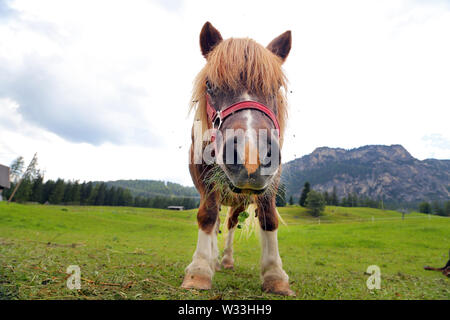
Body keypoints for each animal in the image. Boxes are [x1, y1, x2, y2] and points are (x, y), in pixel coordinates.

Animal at [183, 21, 296, 298]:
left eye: (277, 85)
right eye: (210, 85)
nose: (250, 156)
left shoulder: (269, 181)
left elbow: (268, 217)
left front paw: (275, 274)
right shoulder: (207, 180)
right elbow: (207, 216)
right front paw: (199, 269)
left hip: (240, 201)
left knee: (232, 222)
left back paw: (225, 260)